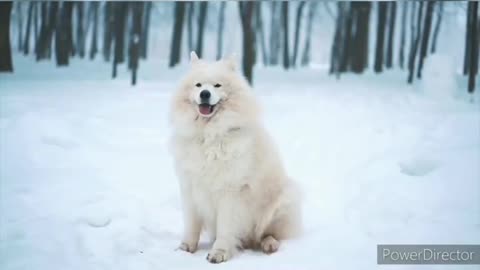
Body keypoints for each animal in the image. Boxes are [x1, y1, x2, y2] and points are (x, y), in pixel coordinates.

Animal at [170, 51, 300, 262]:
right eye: (198, 85)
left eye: (217, 85)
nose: (204, 94)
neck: (210, 135)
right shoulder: (190, 187)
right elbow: (191, 224)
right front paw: (185, 248)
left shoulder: (230, 191)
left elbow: (225, 228)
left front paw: (219, 253)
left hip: (282, 200)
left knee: (267, 233)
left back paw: (269, 244)